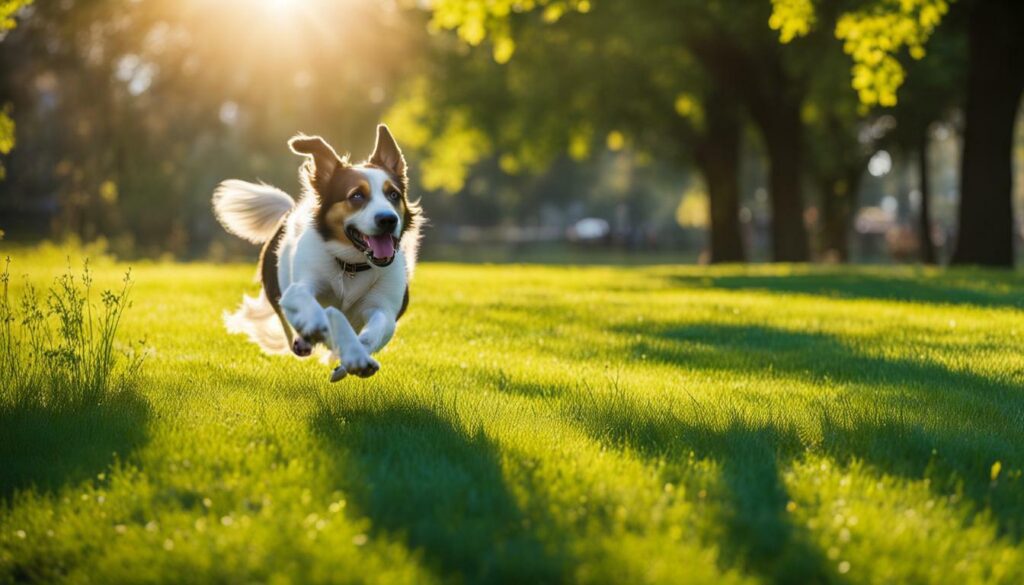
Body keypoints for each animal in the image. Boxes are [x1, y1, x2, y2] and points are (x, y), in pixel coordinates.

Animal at [214, 123, 421, 383]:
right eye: (356, 195)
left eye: (393, 195)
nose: (388, 219)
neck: (351, 265)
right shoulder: (295, 291)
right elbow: (324, 311)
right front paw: (320, 325)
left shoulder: (384, 309)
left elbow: (372, 332)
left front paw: (355, 357)